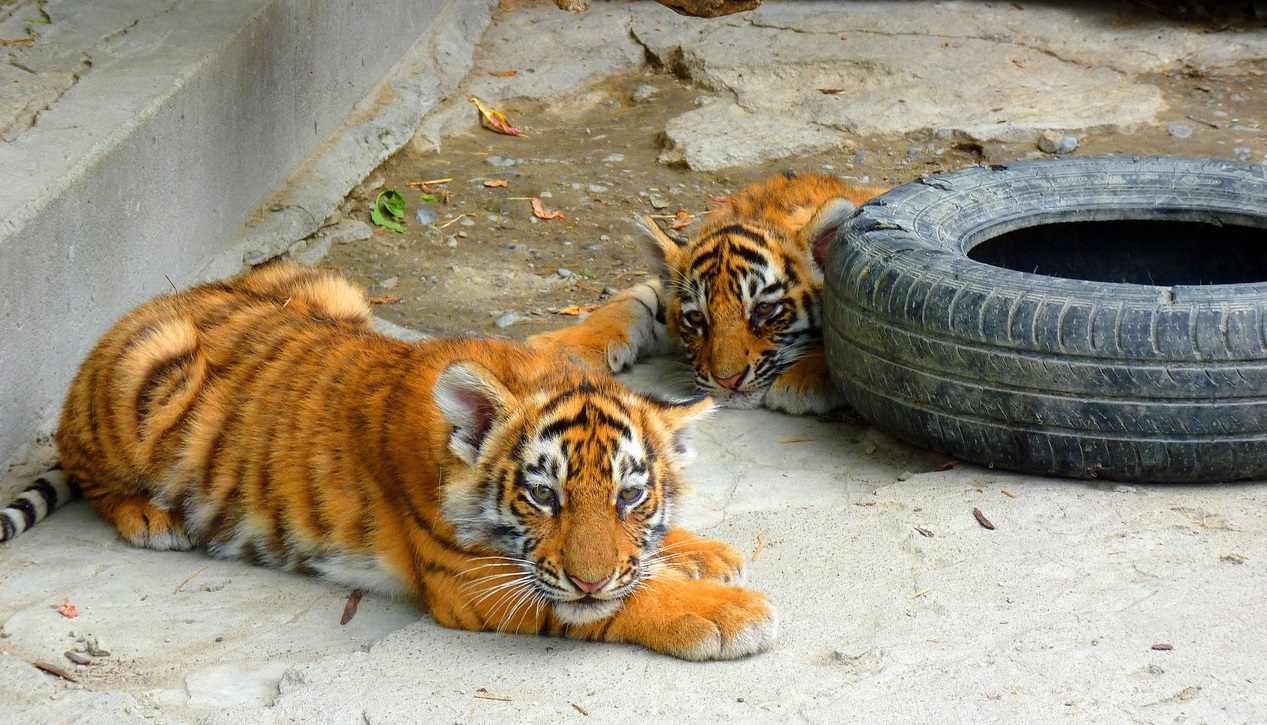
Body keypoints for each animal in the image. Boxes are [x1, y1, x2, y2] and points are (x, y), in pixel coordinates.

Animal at [0, 263, 776, 661]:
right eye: (543, 497)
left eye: (629, 497)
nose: (590, 575)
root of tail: (150, 306)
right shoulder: (476, 582)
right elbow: (619, 601)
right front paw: (730, 613)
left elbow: (641, 566)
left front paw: (701, 552)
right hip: (147, 366)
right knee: (83, 463)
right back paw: (149, 517)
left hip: (335, 289)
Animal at [528, 172, 888, 415]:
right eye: (697, 318)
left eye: (764, 310)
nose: (728, 382)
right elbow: (629, 301)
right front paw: (563, 347)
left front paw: (803, 381)